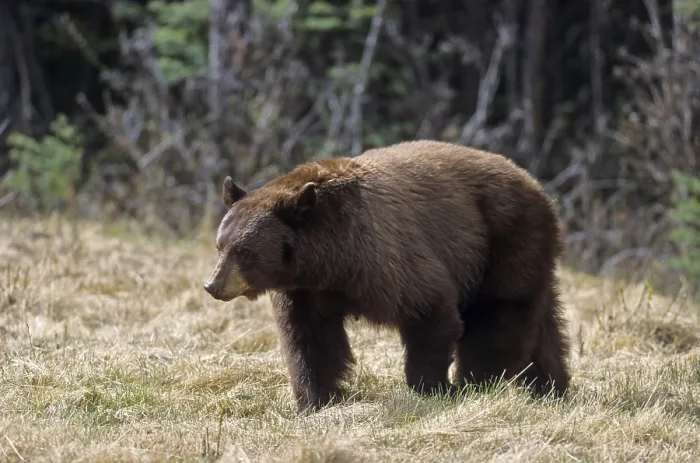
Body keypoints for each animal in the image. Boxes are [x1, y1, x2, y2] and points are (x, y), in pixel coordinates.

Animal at [203, 140, 570, 413]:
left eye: (245, 252)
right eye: (221, 246)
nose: (213, 286)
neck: (328, 262)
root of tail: (537, 185)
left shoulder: (383, 258)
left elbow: (430, 310)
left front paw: (434, 387)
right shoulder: (303, 292)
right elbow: (310, 339)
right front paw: (317, 401)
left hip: (505, 240)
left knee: (499, 313)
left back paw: (478, 381)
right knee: (544, 327)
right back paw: (552, 387)